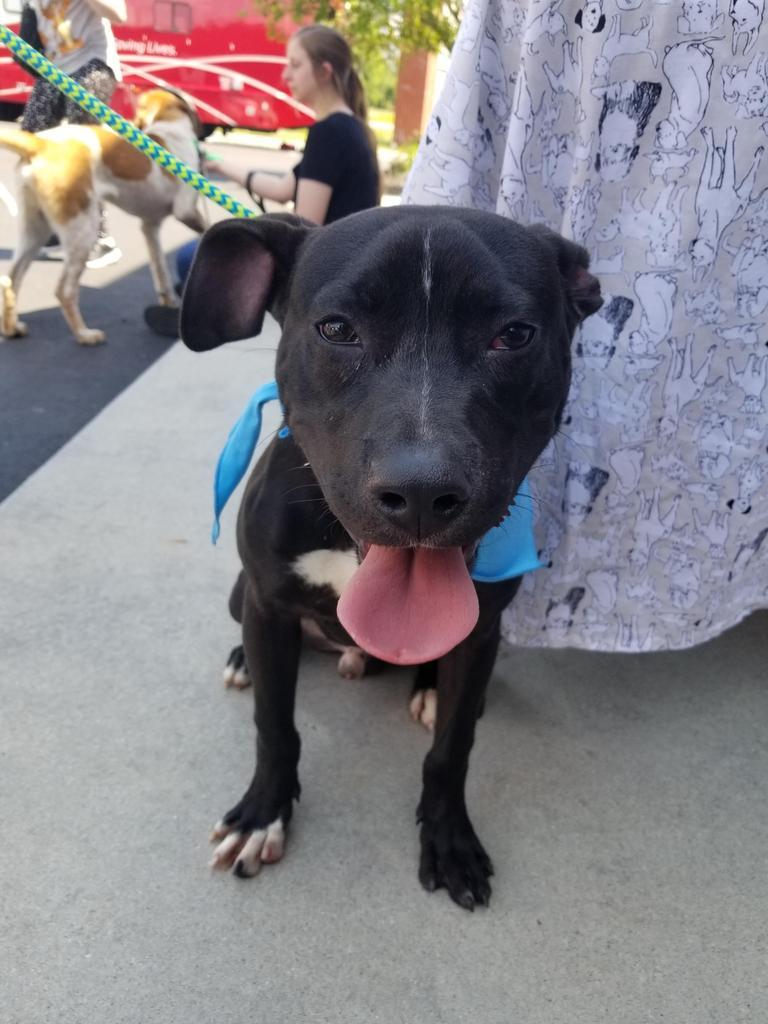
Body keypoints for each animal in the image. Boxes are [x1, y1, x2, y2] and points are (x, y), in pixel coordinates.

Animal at [0, 89, 207, 344]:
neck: (168, 127)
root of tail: (41, 143)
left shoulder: (150, 226)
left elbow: (161, 270)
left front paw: (169, 301)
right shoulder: (185, 210)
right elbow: (208, 227)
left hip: (35, 229)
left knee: (11, 279)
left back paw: (12, 329)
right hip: (83, 229)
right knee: (64, 290)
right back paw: (84, 334)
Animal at [180, 203, 602, 909]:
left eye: (514, 335)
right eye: (336, 329)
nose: (424, 492)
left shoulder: (481, 630)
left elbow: (452, 750)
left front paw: (450, 837)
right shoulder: (268, 603)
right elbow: (274, 725)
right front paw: (262, 813)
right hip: (244, 596)